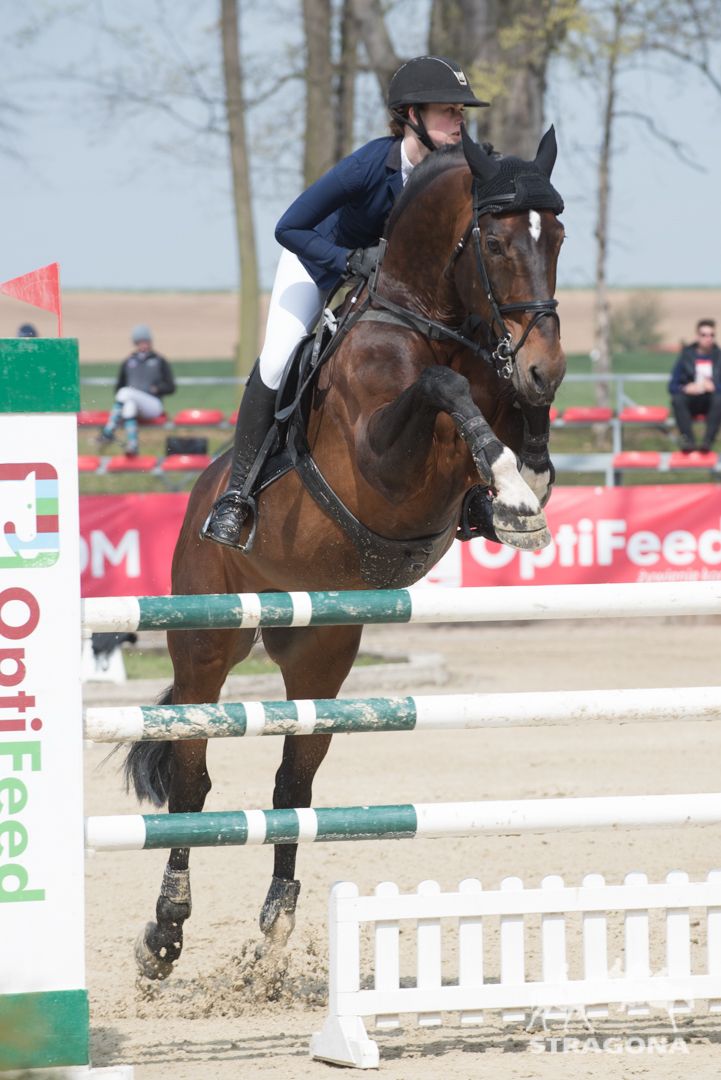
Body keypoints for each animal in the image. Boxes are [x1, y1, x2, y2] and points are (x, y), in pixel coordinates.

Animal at [125, 125, 566, 980]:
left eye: (555, 238)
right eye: (496, 243)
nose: (546, 366)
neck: (435, 319)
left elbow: (511, 424)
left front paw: (519, 484)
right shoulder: (382, 459)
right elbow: (441, 391)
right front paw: (510, 490)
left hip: (321, 649)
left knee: (292, 782)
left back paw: (273, 930)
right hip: (204, 638)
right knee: (192, 778)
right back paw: (163, 934)